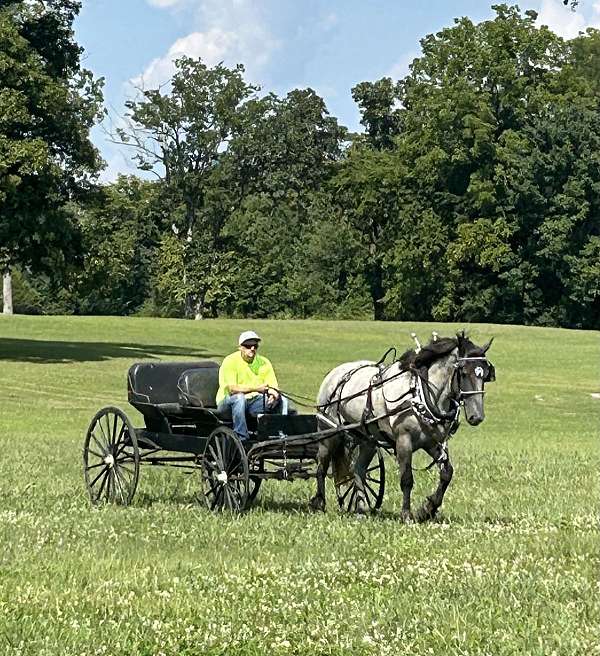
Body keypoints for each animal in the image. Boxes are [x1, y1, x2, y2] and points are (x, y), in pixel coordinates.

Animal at [310, 334, 496, 524]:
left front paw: (428, 508)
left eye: (485, 375)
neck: (419, 393)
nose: (476, 416)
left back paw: (361, 509)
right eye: (464, 372)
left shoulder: (431, 443)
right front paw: (407, 514)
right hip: (329, 432)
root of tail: (333, 373)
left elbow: (447, 473)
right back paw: (319, 503)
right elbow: (406, 478)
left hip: (368, 440)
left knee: (358, 470)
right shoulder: (403, 441)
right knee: (321, 467)